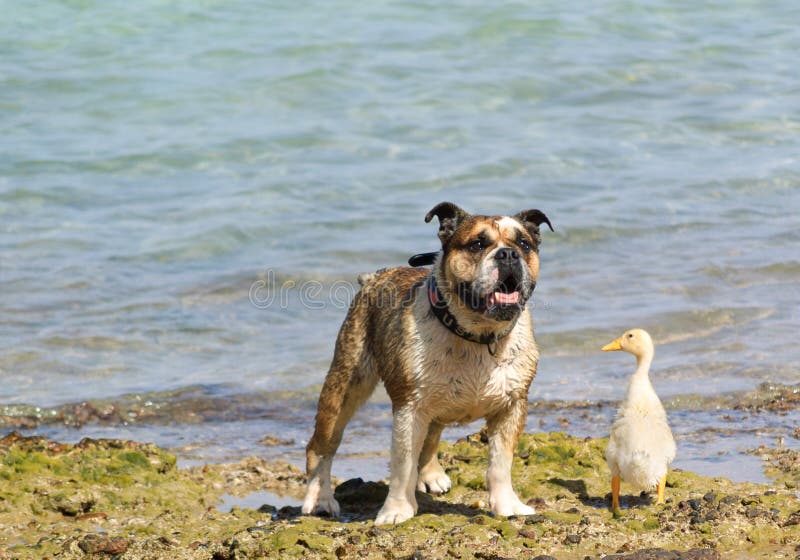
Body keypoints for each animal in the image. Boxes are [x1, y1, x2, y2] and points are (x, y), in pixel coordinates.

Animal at [300, 201, 552, 524]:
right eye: (477, 244)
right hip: (344, 389)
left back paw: (431, 474)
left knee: (431, 437)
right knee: (322, 446)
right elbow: (402, 465)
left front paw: (507, 505)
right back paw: (320, 498)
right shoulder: (410, 408)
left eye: (524, 243)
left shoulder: (511, 406)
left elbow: (500, 463)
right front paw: (396, 511)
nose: (508, 253)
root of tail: (374, 277)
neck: (477, 334)